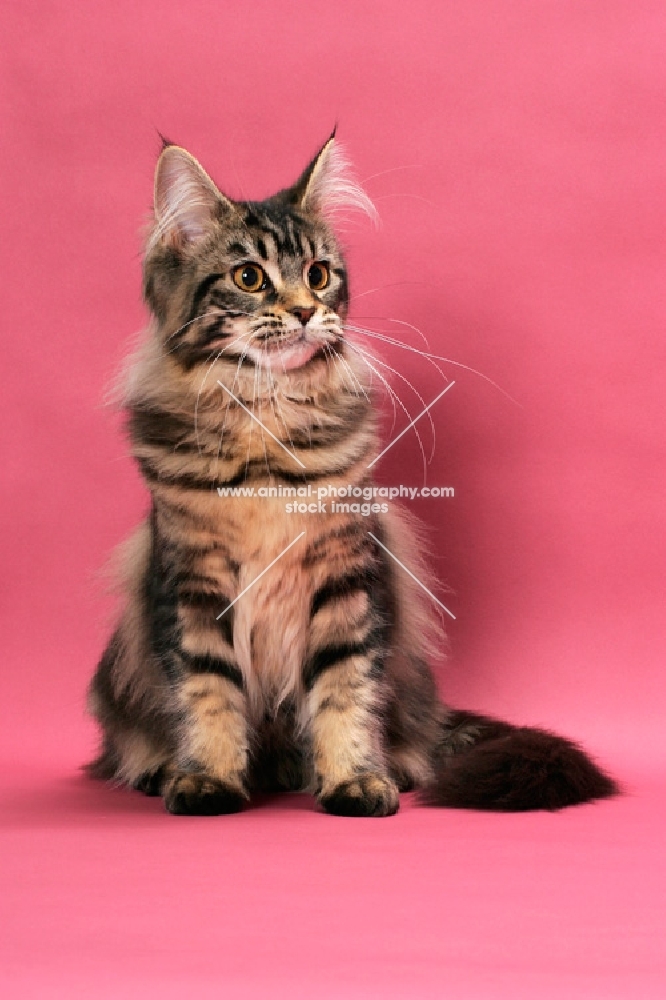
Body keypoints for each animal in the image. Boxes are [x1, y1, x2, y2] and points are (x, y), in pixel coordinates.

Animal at [85, 133, 616, 816]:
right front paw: (207, 780)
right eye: (249, 278)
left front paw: (356, 781)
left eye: (318, 274)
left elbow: (345, 689)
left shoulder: (346, 573)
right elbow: (208, 692)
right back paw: (159, 768)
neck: (266, 420)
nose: (306, 312)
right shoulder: (191, 580)